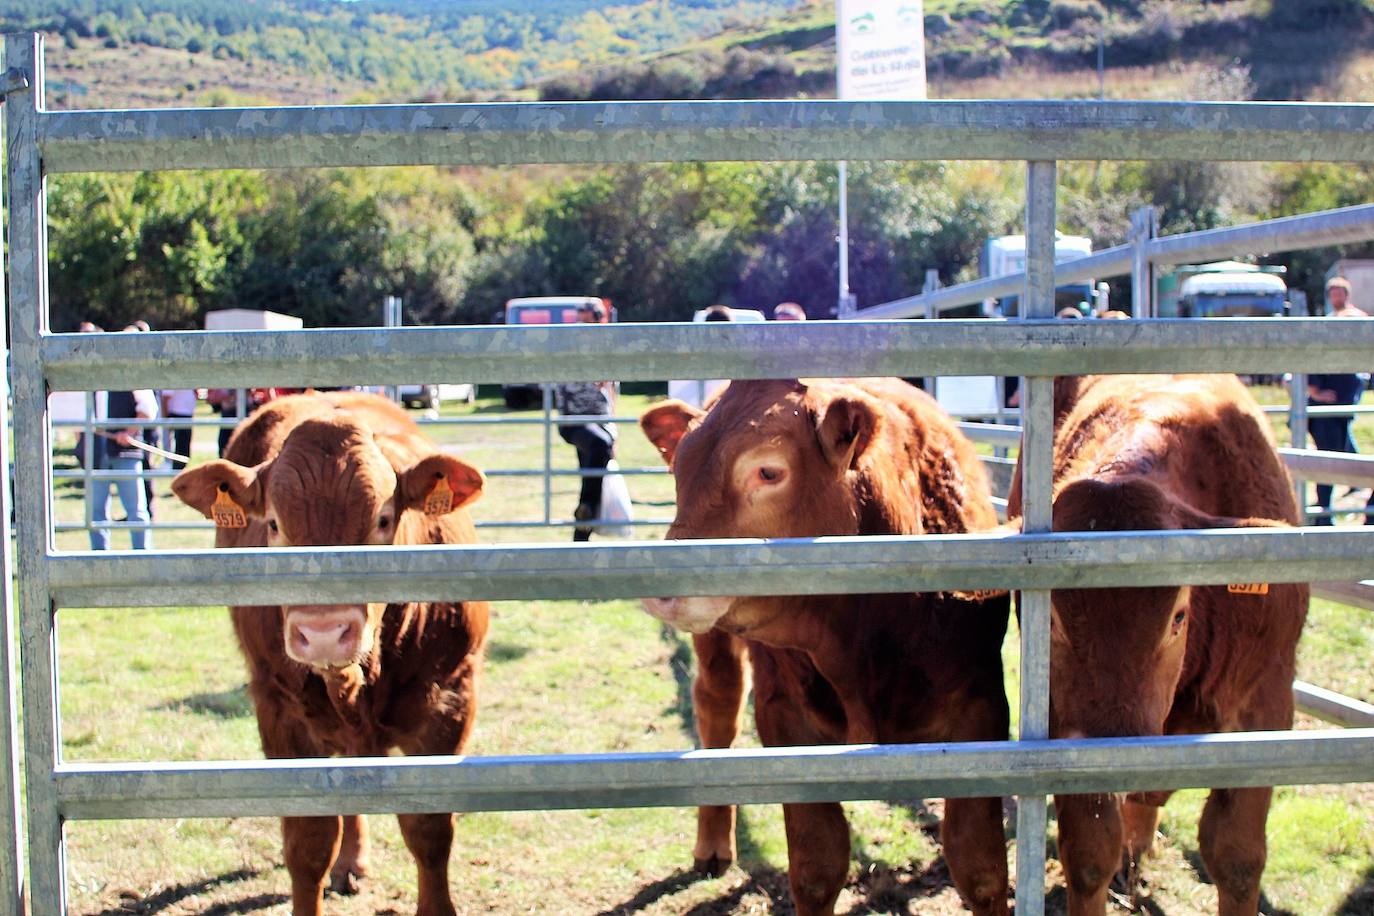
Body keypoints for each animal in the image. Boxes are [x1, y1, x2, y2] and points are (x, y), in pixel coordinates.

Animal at [640, 379, 1011, 916]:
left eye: (768, 470)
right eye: (679, 469)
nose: (661, 584)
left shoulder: (980, 708)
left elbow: (979, 864)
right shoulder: (784, 716)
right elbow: (817, 865)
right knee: (717, 708)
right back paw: (712, 844)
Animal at [1011, 373, 1308, 916]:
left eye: (1178, 617)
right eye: (1055, 621)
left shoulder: (1268, 703)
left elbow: (1236, 857)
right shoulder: (1065, 719)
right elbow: (1088, 854)